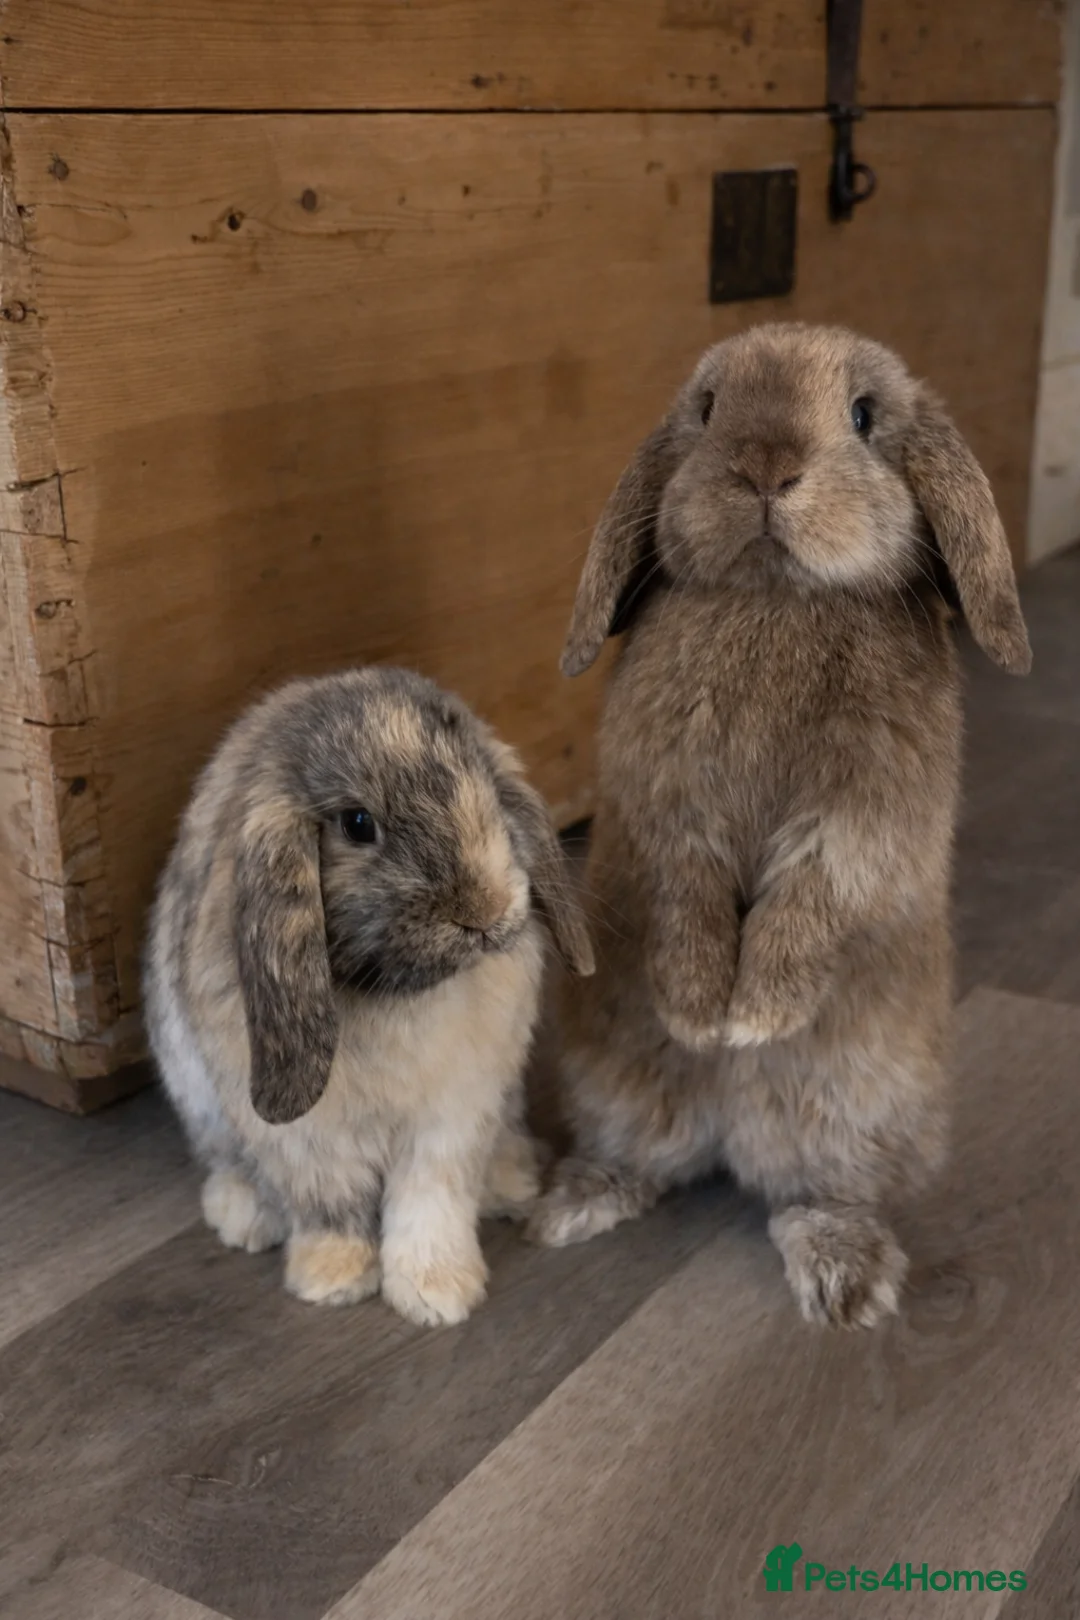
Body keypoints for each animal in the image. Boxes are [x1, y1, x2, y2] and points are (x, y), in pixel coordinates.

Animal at [144, 666, 594, 1327]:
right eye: (358, 824)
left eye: (486, 787)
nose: (484, 912)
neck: (395, 993)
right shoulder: (310, 1139)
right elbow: (331, 1205)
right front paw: (332, 1278)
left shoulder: (452, 1118)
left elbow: (429, 1203)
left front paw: (437, 1293)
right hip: (201, 1102)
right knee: (228, 1162)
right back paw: (244, 1216)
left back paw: (511, 1182)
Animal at [527, 322, 1031, 1329]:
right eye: (708, 408)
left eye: (865, 416)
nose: (765, 467)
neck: (779, 594)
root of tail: (730, 1139)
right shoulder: (668, 809)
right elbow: (685, 887)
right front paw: (697, 1011)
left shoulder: (859, 815)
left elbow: (814, 892)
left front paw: (753, 1018)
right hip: (613, 1078)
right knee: (646, 1158)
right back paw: (574, 1204)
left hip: (857, 1109)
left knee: (813, 1195)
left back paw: (847, 1281)